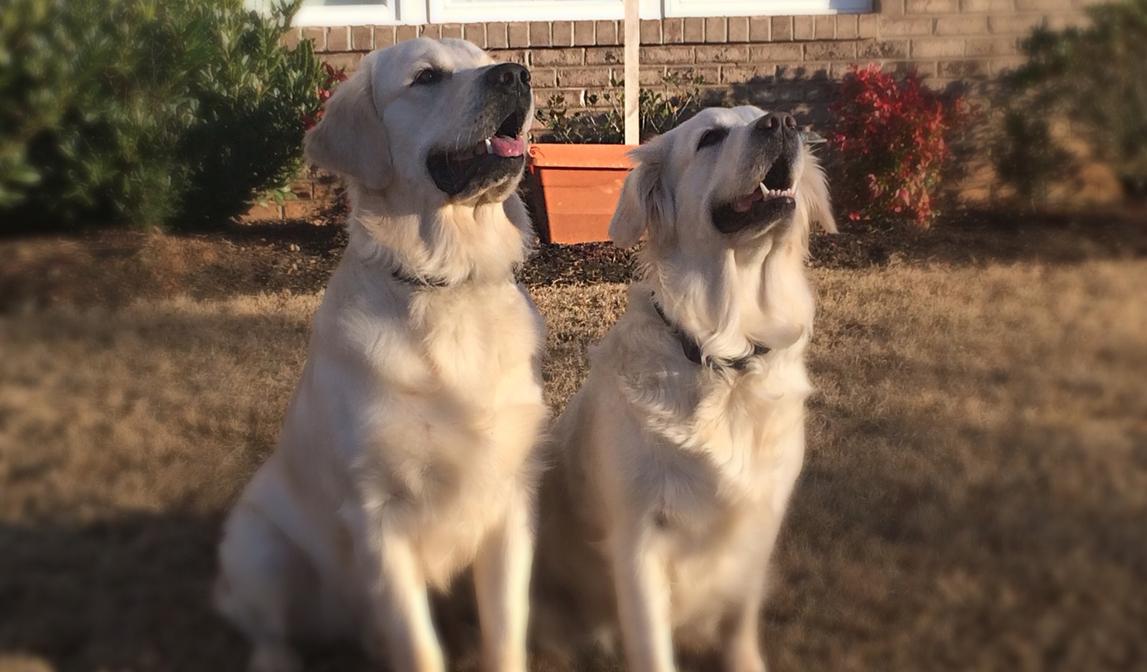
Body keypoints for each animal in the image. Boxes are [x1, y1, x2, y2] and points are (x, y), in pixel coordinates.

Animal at [215, 37, 545, 669]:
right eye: (427, 77)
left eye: (484, 59)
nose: (517, 75)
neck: (447, 286)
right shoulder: (378, 518)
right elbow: (419, 647)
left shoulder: (509, 500)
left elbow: (508, 632)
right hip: (259, 546)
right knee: (268, 632)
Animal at [532, 106, 839, 669]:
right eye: (710, 137)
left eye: (760, 114)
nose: (781, 122)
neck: (725, 358)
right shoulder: (638, 538)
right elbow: (652, 645)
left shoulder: (758, 525)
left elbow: (739, 625)